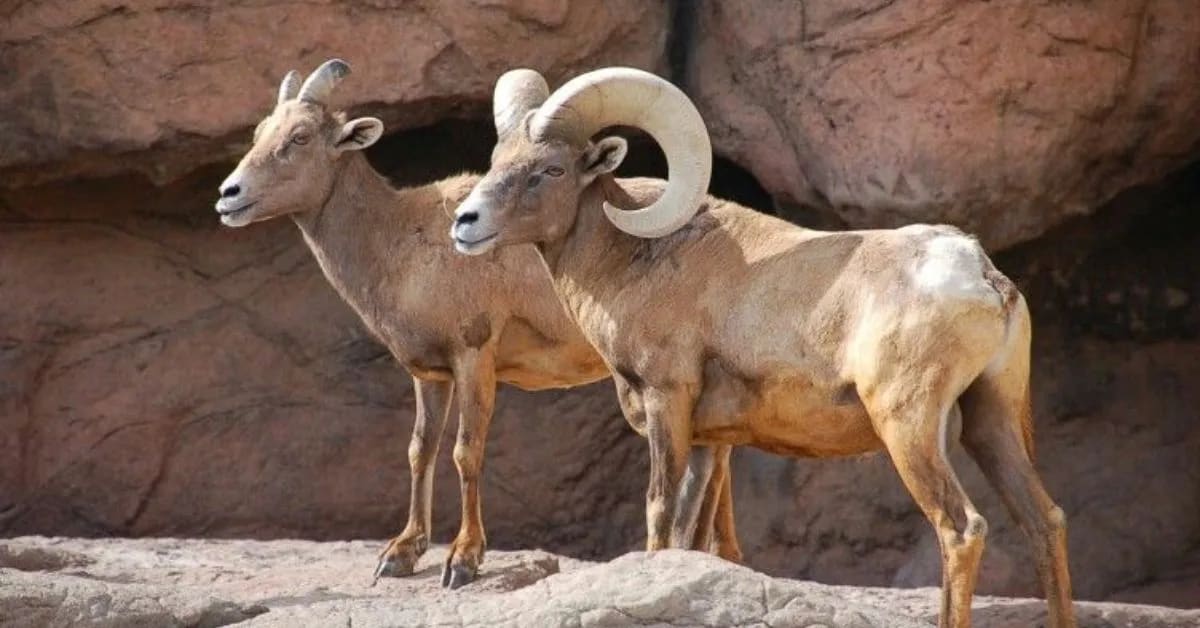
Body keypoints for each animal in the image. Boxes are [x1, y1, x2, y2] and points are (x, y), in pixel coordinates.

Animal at [213, 60, 741, 589]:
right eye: (261, 132)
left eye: (300, 137)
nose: (228, 195)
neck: (398, 242)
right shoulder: (428, 375)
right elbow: (420, 449)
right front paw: (400, 554)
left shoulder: (473, 359)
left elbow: (465, 452)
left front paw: (463, 561)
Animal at [450, 67, 1076, 627]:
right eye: (497, 161)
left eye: (550, 169)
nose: (465, 222)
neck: (632, 263)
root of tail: (982, 275)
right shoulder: (707, 442)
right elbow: (690, 536)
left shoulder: (666, 404)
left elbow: (659, 515)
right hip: (990, 417)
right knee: (1044, 521)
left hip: (908, 425)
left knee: (960, 528)